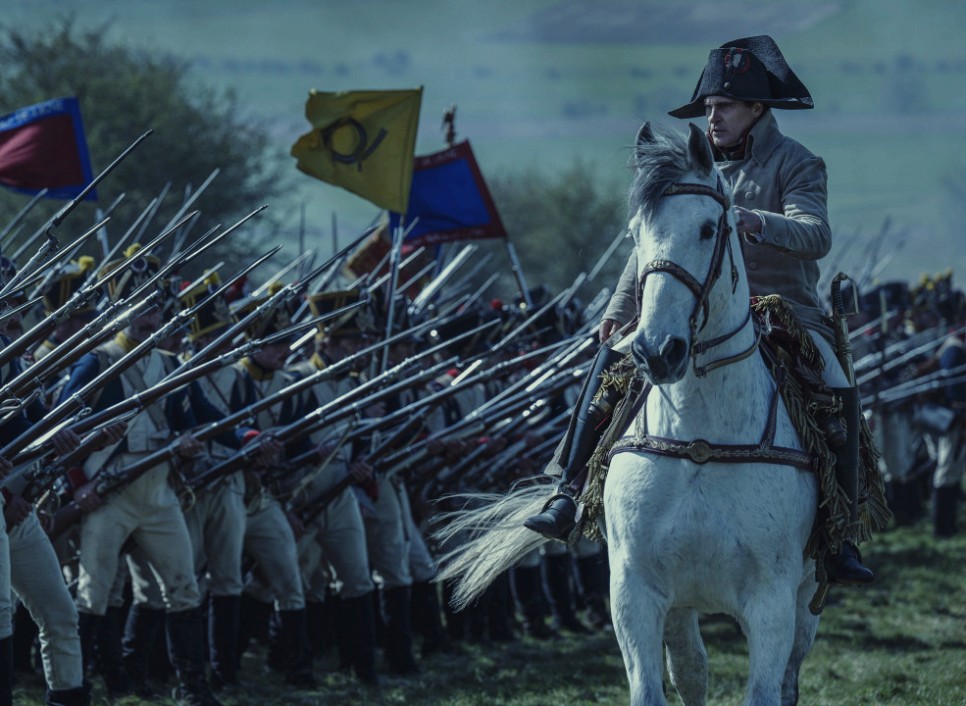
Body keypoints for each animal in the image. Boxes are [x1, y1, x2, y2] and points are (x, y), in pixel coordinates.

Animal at [438, 122, 824, 704]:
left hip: (805, 597)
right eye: (636, 234)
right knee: (692, 671)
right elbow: (653, 687)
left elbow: (766, 689)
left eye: (709, 228)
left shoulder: (772, 602)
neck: (699, 440)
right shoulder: (635, 592)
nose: (656, 351)